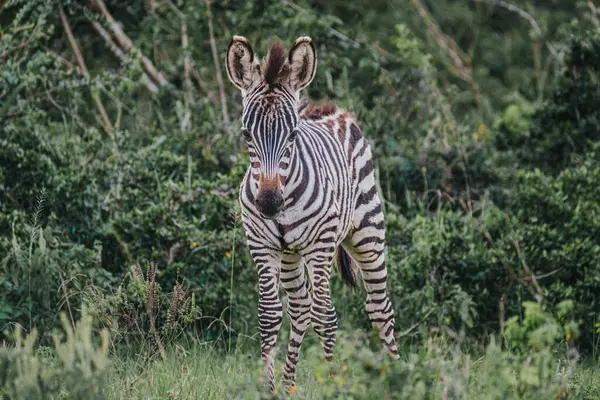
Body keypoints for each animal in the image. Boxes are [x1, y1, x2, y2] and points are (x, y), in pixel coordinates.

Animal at [225, 34, 398, 390]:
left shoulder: (319, 246)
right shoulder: (262, 246)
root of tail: (332, 111)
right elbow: (270, 314)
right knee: (301, 307)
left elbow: (325, 315)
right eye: (246, 134)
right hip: (291, 254)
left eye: (292, 135)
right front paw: (270, 389)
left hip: (368, 234)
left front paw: (334, 385)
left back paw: (399, 375)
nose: (268, 203)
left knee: (378, 308)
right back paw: (289, 384)